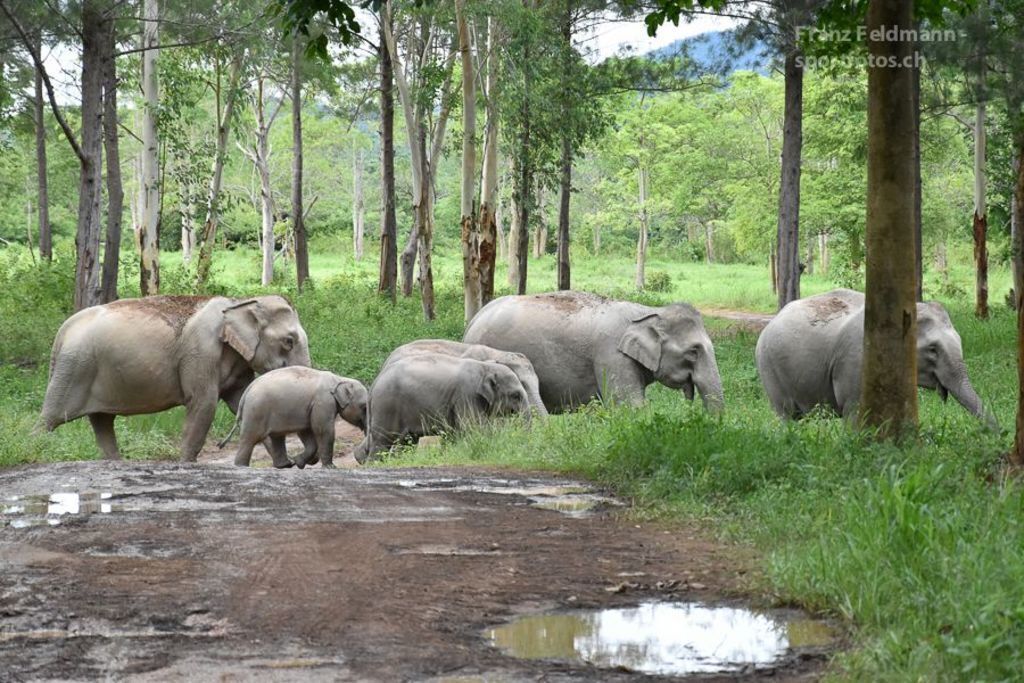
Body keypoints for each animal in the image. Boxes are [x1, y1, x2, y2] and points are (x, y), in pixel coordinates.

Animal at [40, 295, 311, 462]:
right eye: (288, 341)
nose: (297, 461)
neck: (240, 303)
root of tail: (62, 332)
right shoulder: (201, 353)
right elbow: (203, 405)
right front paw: (186, 463)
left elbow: (239, 404)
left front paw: (284, 465)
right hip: (74, 369)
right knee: (50, 418)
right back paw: (36, 445)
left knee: (102, 422)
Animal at [220, 367, 368, 469]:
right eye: (364, 407)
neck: (339, 379)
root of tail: (247, 391)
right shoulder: (323, 402)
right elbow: (323, 430)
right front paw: (331, 468)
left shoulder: (310, 407)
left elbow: (306, 432)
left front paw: (300, 462)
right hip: (256, 411)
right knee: (250, 438)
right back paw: (241, 466)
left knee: (276, 437)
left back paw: (286, 465)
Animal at [353, 353, 530, 463]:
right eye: (516, 395)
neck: (485, 367)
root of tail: (376, 381)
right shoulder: (467, 394)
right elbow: (472, 427)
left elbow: (455, 432)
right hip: (387, 405)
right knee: (383, 441)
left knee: (407, 442)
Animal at [755, 288, 994, 423]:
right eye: (933, 349)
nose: (997, 436)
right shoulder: (855, 363)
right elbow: (854, 409)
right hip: (768, 368)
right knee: (785, 413)